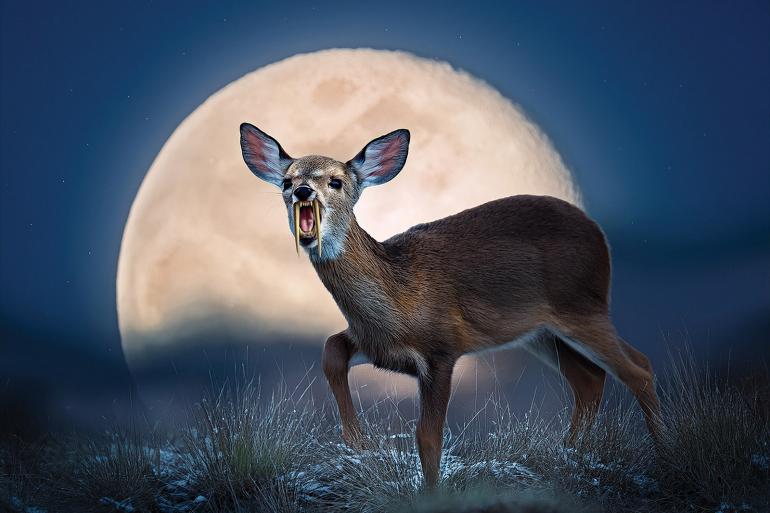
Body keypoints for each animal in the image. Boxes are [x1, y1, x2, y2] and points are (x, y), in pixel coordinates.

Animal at [239, 123, 662, 488]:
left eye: (335, 181)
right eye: (286, 180)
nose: (302, 192)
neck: (399, 297)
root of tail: (600, 237)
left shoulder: (442, 346)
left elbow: (428, 436)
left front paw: (430, 491)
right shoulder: (374, 344)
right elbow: (331, 349)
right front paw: (357, 440)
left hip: (581, 306)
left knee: (638, 367)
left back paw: (660, 449)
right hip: (540, 332)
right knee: (590, 378)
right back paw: (568, 454)